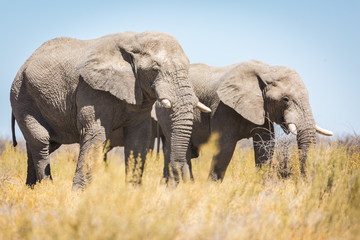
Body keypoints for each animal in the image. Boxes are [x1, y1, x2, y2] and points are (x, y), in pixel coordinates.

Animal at [11, 31, 210, 189]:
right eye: (154, 69)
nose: (174, 185)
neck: (135, 42)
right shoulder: (91, 89)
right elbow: (95, 135)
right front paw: (78, 196)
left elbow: (139, 138)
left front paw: (133, 193)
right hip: (22, 98)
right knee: (41, 140)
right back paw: (46, 188)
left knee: (43, 144)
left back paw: (31, 190)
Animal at [156, 60, 334, 184]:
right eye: (285, 99)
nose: (304, 182)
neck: (267, 71)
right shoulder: (222, 107)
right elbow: (225, 147)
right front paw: (212, 187)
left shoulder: (262, 110)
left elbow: (265, 146)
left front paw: (262, 186)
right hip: (167, 113)